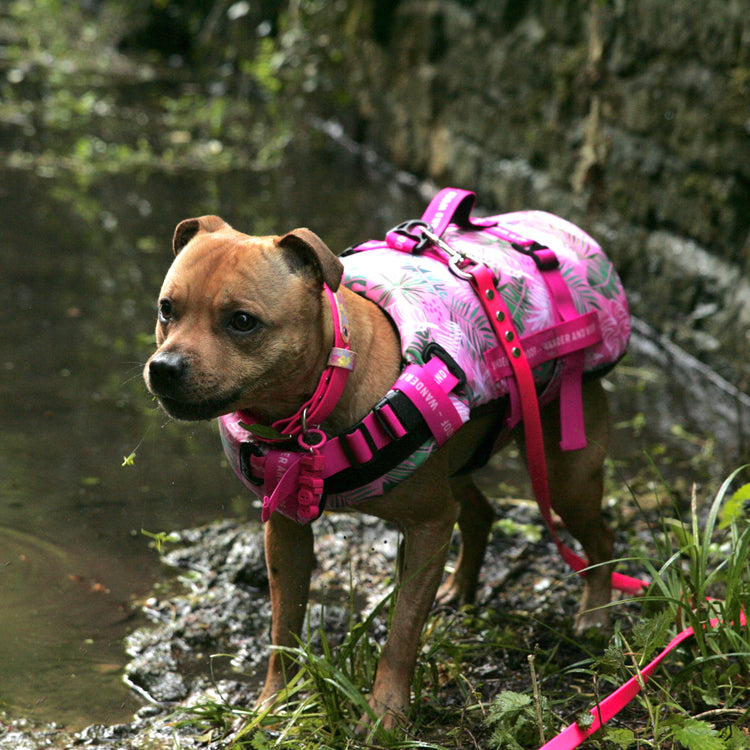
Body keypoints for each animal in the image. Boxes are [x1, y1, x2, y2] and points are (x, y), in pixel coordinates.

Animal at [145, 214, 616, 732]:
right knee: (479, 513)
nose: (164, 367)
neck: (316, 405)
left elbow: (402, 633)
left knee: (601, 540)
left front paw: (386, 712)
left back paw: (597, 614)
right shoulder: (286, 533)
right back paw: (460, 588)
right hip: (455, 467)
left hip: (565, 478)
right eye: (167, 309)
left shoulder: (428, 528)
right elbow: (283, 628)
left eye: (242, 322)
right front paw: (274, 703)